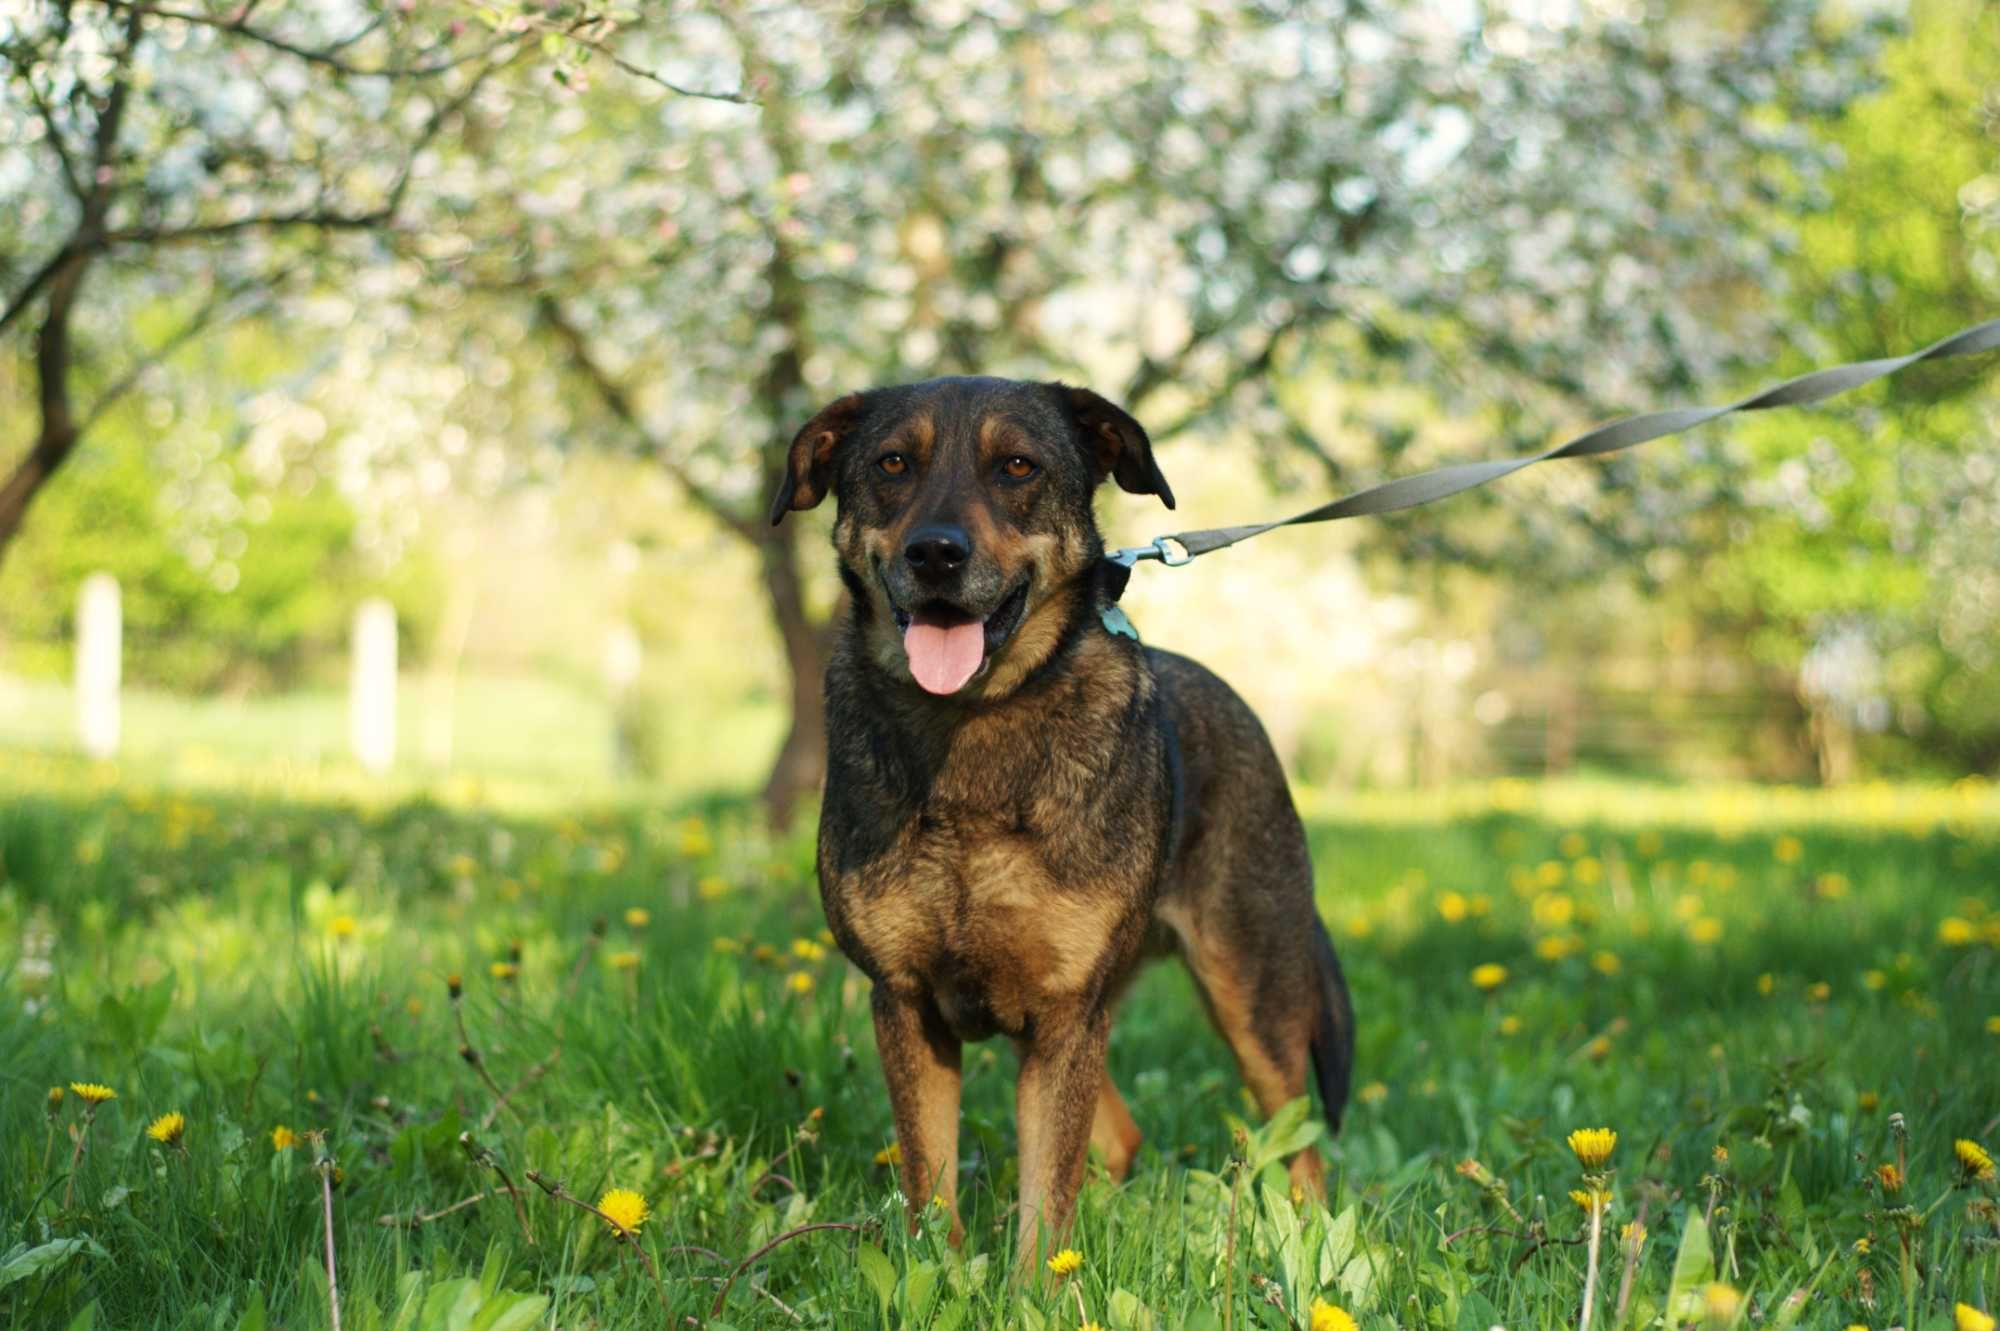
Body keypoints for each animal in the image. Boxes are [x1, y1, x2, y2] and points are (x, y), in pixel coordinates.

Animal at [764, 375, 1360, 1263]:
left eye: (1019, 465)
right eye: (892, 462)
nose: (935, 553)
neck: (973, 723)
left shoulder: (1067, 1009)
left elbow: (1048, 1195)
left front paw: (1036, 1284)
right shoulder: (908, 1002)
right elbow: (931, 1184)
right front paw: (944, 1273)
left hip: (1253, 987)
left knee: (1303, 1149)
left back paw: (1308, 1244)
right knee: (1119, 1137)